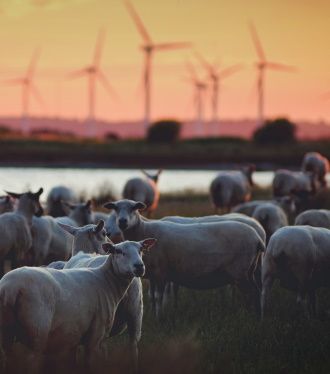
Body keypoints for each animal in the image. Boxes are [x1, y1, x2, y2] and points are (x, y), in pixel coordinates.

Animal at [0, 238, 156, 372]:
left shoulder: (74, 334)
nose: (139, 266)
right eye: (118, 251)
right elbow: (90, 364)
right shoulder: (96, 336)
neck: (106, 280)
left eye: (141, 249)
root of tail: (11, 288)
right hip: (36, 332)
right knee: (31, 359)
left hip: (7, 333)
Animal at [104, 199, 264, 318]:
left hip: (240, 271)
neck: (144, 230)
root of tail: (257, 238)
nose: (122, 221)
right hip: (249, 270)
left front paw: (159, 318)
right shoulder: (153, 274)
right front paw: (154, 315)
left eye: (134, 208)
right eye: (116, 208)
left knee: (252, 292)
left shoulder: (161, 273)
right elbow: (151, 297)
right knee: (255, 292)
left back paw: (253, 317)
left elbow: (158, 297)